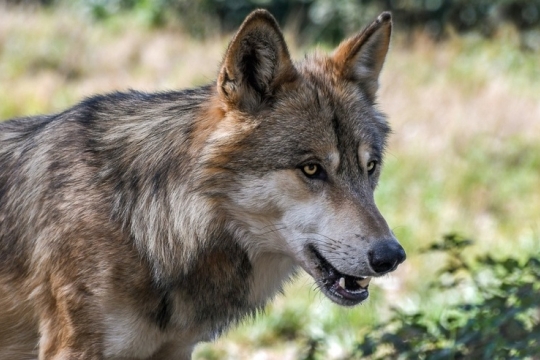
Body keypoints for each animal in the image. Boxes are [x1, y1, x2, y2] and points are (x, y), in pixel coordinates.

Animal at [0, 8, 404, 360]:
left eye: (370, 167)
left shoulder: (176, 350)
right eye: (311, 169)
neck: (142, 225)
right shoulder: (72, 348)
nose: (392, 256)